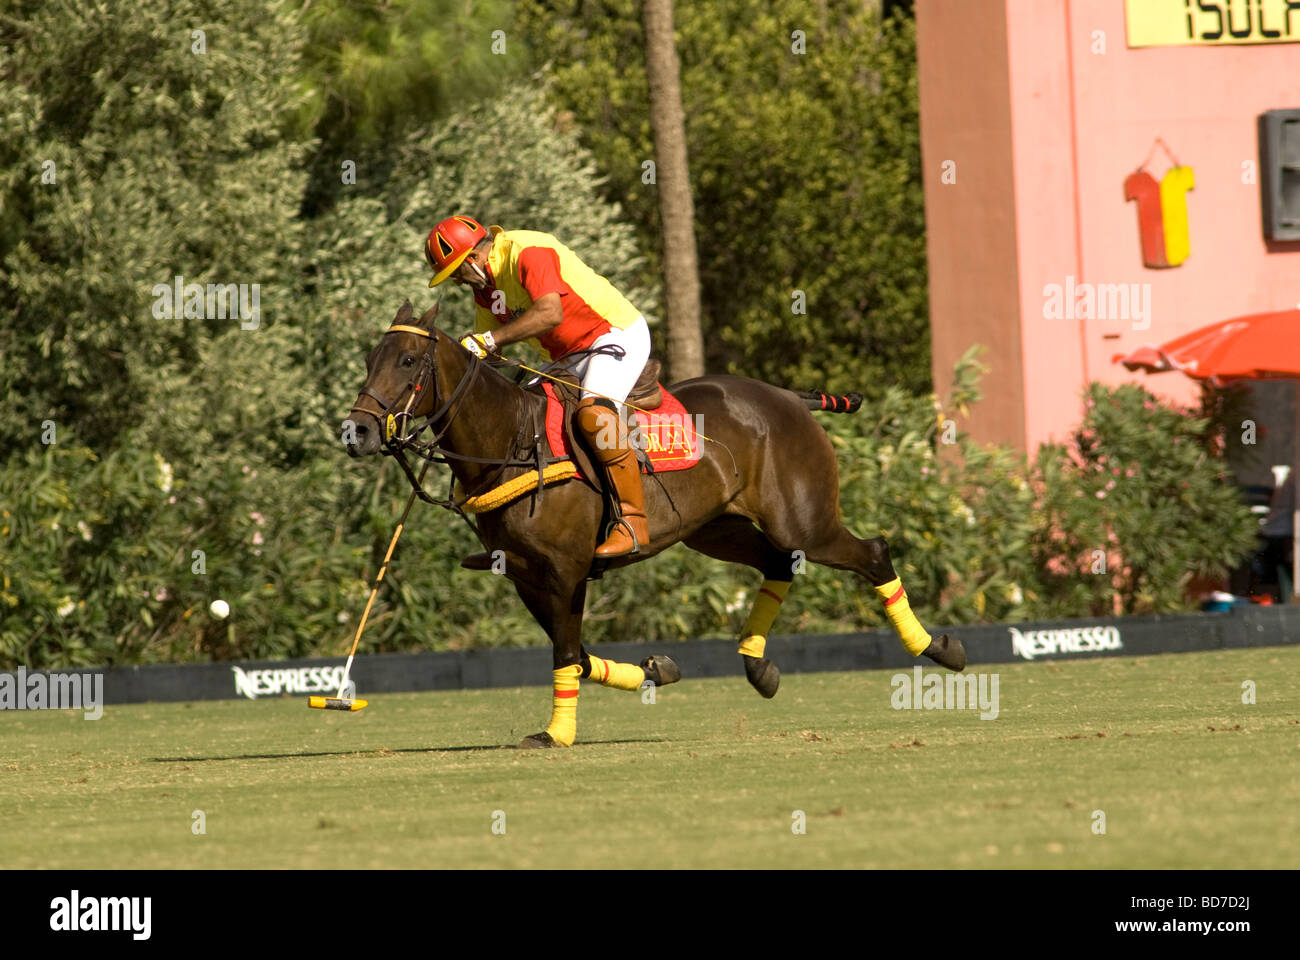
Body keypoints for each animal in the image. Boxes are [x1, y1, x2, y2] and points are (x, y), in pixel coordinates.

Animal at [345, 303, 967, 744]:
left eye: (407, 361)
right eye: (370, 360)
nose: (359, 432)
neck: (512, 441)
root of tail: (789, 396)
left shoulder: (566, 569)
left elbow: (564, 653)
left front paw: (556, 734)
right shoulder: (525, 574)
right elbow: (575, 654)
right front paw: (657, 670)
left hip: (805, 521)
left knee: (872, 551)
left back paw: (941, 649)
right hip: (715, 529)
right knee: (777, 563)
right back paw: (759, 668)